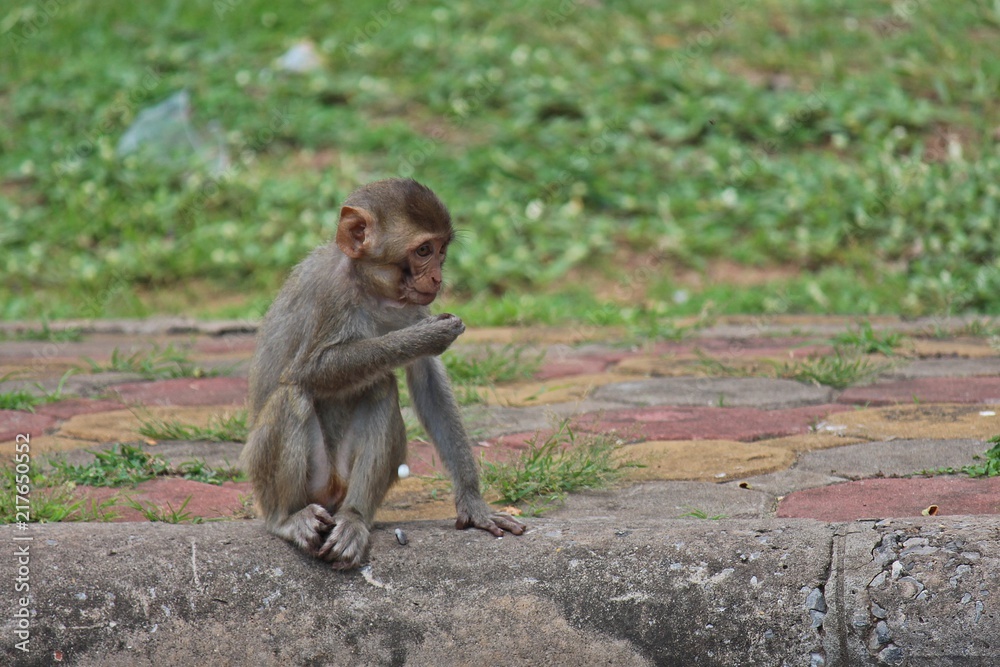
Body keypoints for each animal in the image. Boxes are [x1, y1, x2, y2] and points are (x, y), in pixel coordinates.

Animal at [241, 178, 525, 569]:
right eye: (423, 250)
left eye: (441, 250)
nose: (437, 277)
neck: (370, 287)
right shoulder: (332, 295)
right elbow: (310, 370)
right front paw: (426, 337)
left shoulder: (411, 304)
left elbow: (428, 383)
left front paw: (473, 502)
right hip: (273, 478)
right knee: (294, 393)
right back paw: (287, 519)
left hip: (340, 484)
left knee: (381, 387)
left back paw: (354, 519)